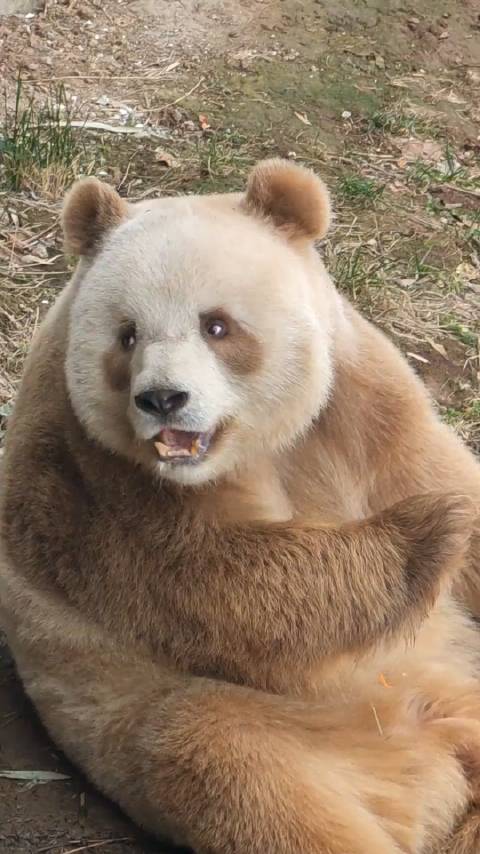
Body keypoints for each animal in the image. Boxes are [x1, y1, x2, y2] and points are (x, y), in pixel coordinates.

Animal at [0, 159, 480, 853]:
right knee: (228, 761)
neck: (252, 450)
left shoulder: (364, 398)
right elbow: (211, 582)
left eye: (217, 325)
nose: (162, 400)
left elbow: (430, 468)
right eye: (126, 336)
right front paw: (433, 528)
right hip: (276, 725)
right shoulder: (83, 470)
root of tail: (429, 782)